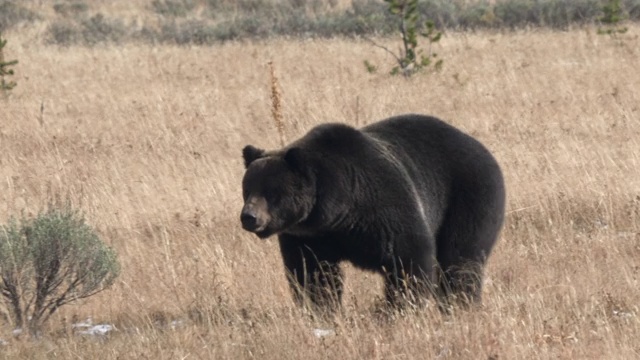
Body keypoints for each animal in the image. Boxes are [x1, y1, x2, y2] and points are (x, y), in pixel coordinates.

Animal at [240, 114, 504, 314]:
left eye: (271, 192)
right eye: (247, 188)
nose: (249, 217)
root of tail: (480, 147)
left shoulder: (382, 207)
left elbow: (410, 257)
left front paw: (400, 308)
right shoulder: (308, 237)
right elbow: (311, 274)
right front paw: (321, 309)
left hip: (469, 197)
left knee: (460, 259)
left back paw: (460, 304)